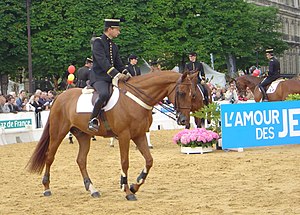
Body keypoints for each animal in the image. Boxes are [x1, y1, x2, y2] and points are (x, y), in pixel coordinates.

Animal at [27, 71, 195, 201]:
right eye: (181, 93)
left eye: (192, 95)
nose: (184, 120)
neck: (136, 98)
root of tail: (59, 97)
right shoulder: (124, 135)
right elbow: (125, 162)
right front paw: (127, 191)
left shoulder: (139, 135)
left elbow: (149, 160)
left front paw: (134, 186)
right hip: (58, 133)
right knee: (50, 156)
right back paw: (46, 188)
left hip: (83, 136)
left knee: (81, 160)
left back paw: (92, 189)